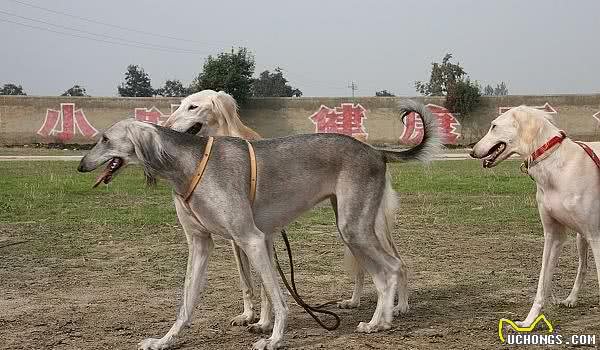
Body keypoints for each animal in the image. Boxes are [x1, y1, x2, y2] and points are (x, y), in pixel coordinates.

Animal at [77, 99, 438, 350]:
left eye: (105, 139)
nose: (81, 165)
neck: (189, 163)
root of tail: (375, 150)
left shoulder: (250, 238)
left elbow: (278, 298)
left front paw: (275, 339)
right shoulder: (202, 244)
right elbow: (186, 302)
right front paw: (165, 340)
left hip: (354, 228)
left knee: (391, 268)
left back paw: (382, 321)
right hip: (354, 227)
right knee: (387, 271)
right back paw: (382, 320)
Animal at [472, 106, 596, 328]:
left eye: (494, 126)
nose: (472, 151)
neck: (557, 166)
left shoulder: (596, 236)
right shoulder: (553, 235)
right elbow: (542, 284)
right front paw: (528, 321)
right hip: (581, 238)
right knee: (583, 267)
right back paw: (571, 299)